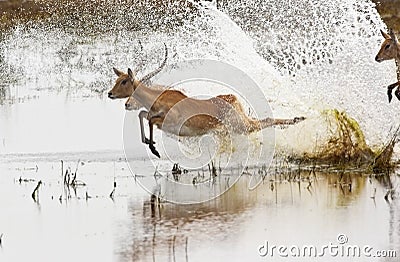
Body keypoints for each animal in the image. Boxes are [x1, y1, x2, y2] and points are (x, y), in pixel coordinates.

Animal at [108, 46, 304, 158]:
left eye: (124, 81)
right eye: (117, 79)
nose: (110, 94)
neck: (159, 99)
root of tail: (233, 98)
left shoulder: (170, 121)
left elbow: (149, 119)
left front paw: (154, 149)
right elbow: (143, 115)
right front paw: (150, 143)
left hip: (241, 126)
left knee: (266, 121)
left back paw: (300, 119)